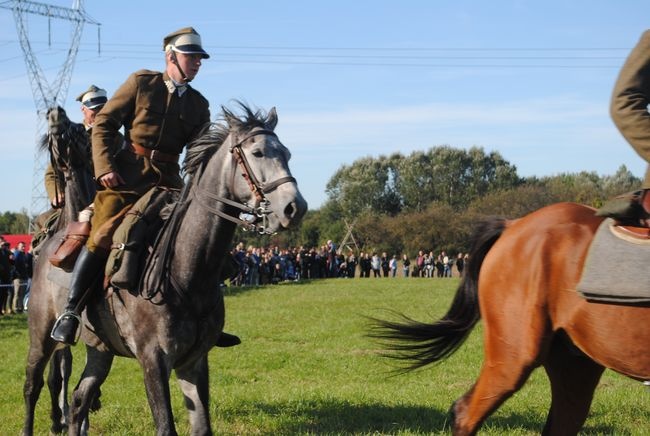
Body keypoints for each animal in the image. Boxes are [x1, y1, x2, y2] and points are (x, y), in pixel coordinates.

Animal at [62, 103, 304, 436]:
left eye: (287, 154)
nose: (295, 207)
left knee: (78, 401)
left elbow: (201, 426)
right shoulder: (153, 360)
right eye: (257, 153)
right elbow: (166, 426)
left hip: (100, 349)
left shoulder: (194, 361)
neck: (187, 271)